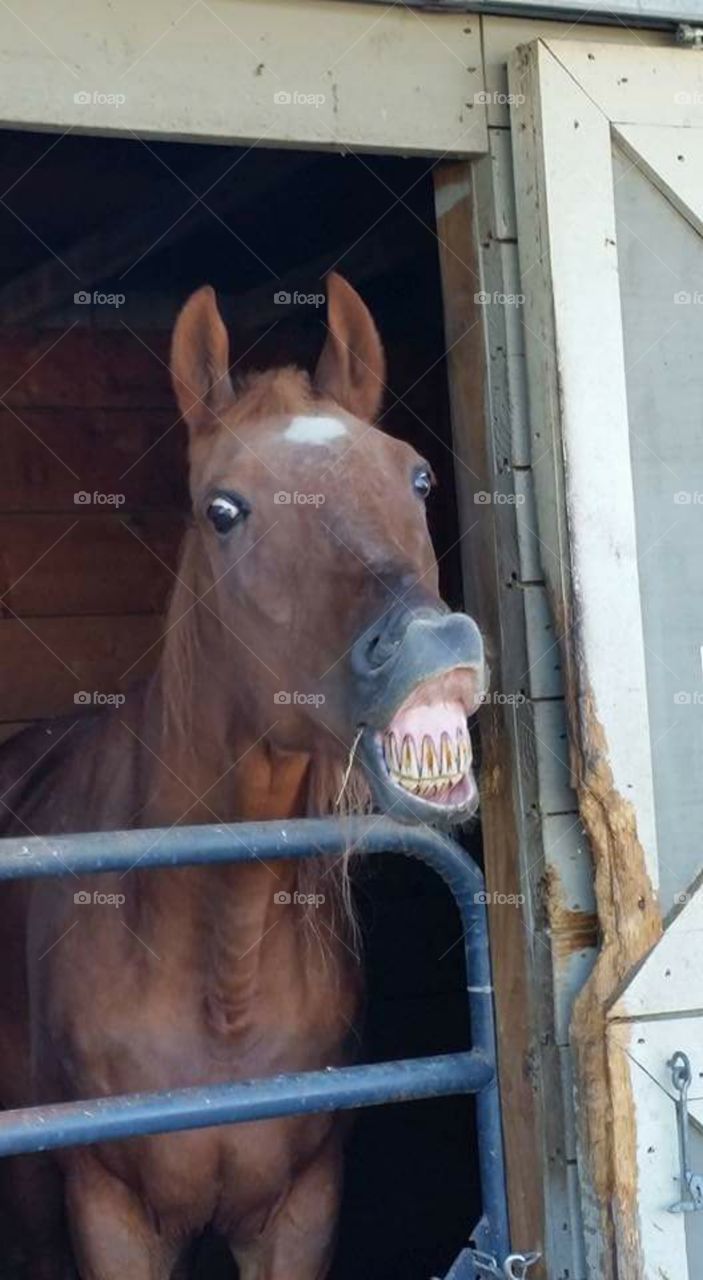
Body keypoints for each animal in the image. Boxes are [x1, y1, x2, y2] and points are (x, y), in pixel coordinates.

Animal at [0, 272, 486, 1280]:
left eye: (417, 477)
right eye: (223, 510)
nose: (431, 645)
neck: (224, 962)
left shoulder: (299, 1208)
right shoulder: (109, 1213)